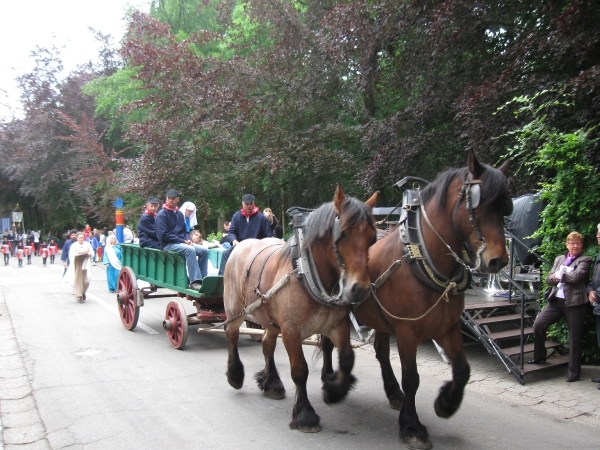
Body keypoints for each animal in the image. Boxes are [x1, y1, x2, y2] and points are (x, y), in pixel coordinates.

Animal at [223, 185, 378, 432]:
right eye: (343, 234)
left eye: (372, 238)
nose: (359, 289)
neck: (307, 275)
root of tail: (243, 243)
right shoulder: (291, 332)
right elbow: (300, 371)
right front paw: (305, 414)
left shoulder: (337, 325)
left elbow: (346, 357)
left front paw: (334, 389)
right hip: (235, 310)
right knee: (232, 334)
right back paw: (235, 375)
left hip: (270, 319)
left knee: (267, 343)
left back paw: (272, 383)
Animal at [322, 150, 512, 446]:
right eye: (478, 205)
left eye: (505, 208)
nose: (498, 260)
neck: (422, 257)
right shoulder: (407, 331)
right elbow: (412, 378)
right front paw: (412, 426)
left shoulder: (448, 328)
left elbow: (462, 369)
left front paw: (446, 403)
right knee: (327, 343)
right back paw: (329, 379)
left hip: (380, 319)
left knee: (381, 352)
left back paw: (392, 392)